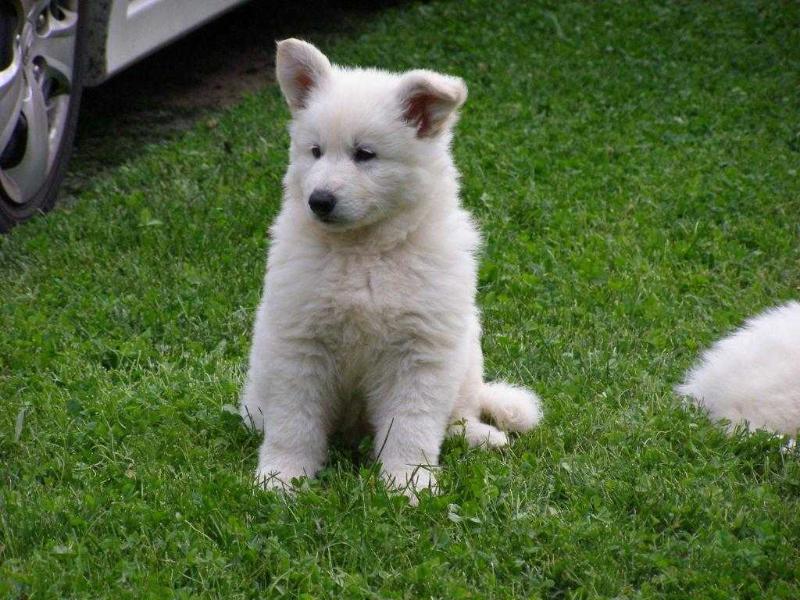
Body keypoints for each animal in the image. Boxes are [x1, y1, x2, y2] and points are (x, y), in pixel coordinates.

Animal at [239, 38, 544, 496]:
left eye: (364, 155)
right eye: (315, 151)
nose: (319, 201)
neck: (364, 251)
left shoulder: (420, 351)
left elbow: (411, 425)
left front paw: (408, 483)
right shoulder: (300, 343)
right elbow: (295, 420)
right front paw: (282, 477)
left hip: (465, 355)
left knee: (457, 415)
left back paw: (481, 435)